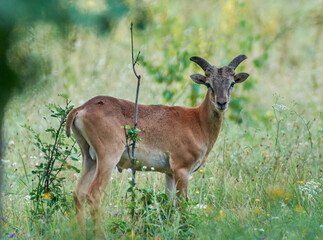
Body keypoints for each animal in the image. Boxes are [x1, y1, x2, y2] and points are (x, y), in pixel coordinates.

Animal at [66, 54, 251, 236]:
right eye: (208, 83)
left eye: (232, 83)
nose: (222, 103)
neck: (197, 121)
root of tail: (81, 108)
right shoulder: (181, 169)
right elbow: (182, 206)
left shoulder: (169, 174)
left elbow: (169, 205)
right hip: (108, 158)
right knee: (93, 194)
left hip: (90, 159)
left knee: (78, 193)